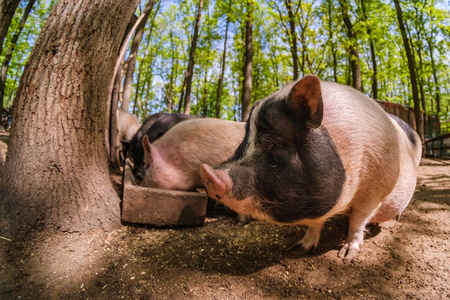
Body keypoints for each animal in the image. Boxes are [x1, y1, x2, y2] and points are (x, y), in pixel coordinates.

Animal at [200, 76, 422, 258]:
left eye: (274, 142)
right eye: (244, 140)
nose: (209, 174)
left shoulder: (374, 191)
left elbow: (358, 222)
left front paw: (345, 256)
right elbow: (315, 225)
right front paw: (296, 249)